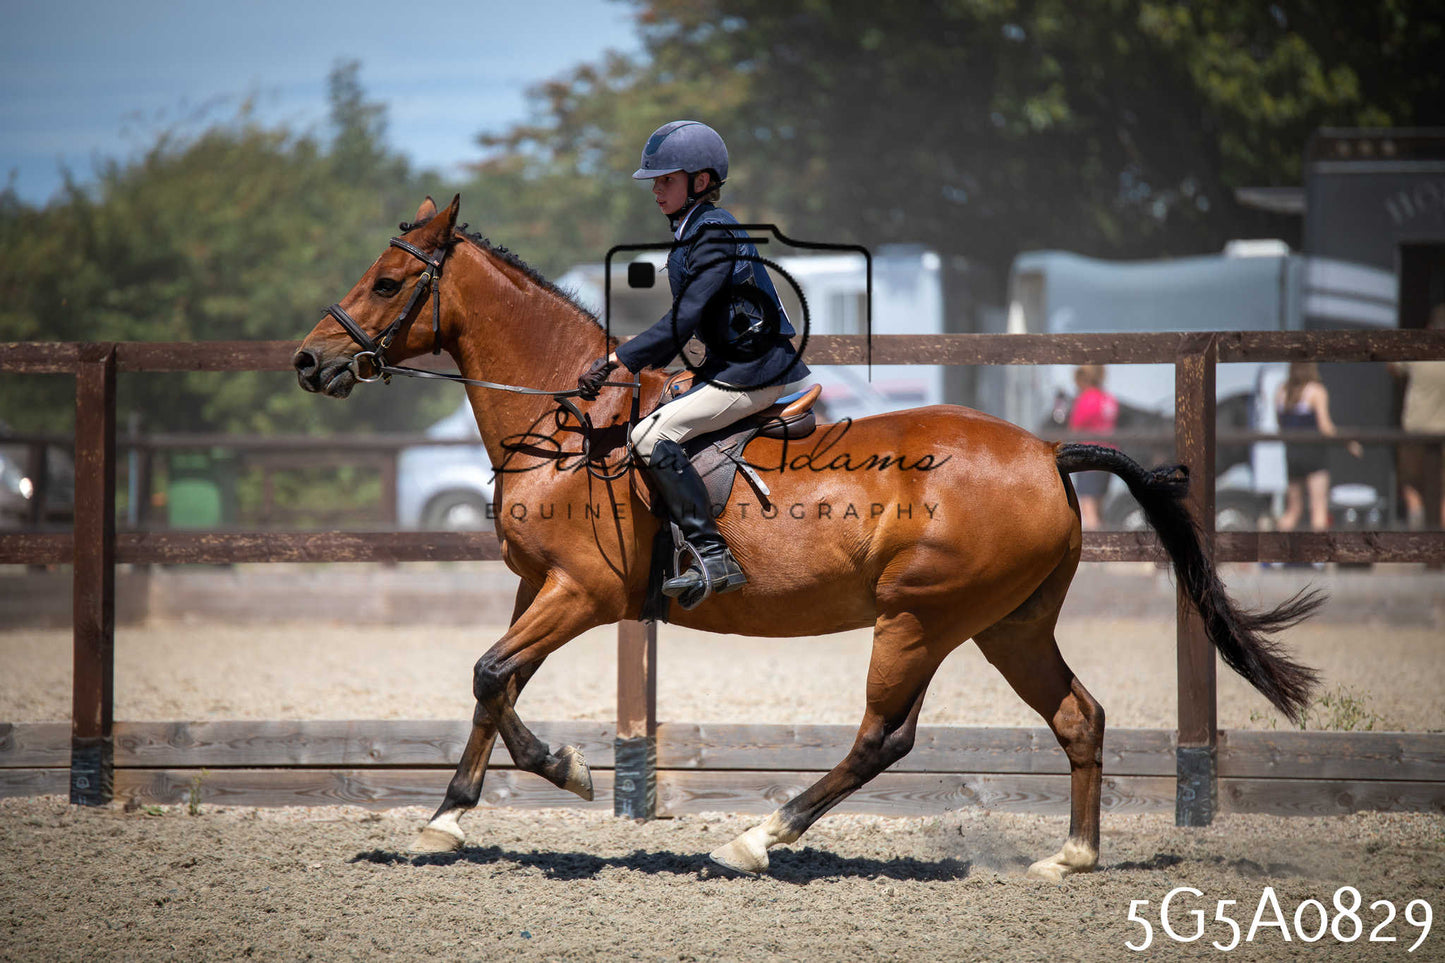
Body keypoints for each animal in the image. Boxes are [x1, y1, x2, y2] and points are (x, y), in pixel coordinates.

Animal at [294, 195, 1322, 880]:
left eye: (388, 281)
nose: (310, 360)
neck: (569, 426)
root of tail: (1045, 450)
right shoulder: (536, 586)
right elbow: (494, 683)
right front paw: (460, 811)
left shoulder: (582, 592)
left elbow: (488, 674)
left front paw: (549, 777)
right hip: (1009, 623)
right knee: (1078, 715)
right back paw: (1069, 856)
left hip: (918, 618)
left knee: (883, 737)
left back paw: (759, 836)